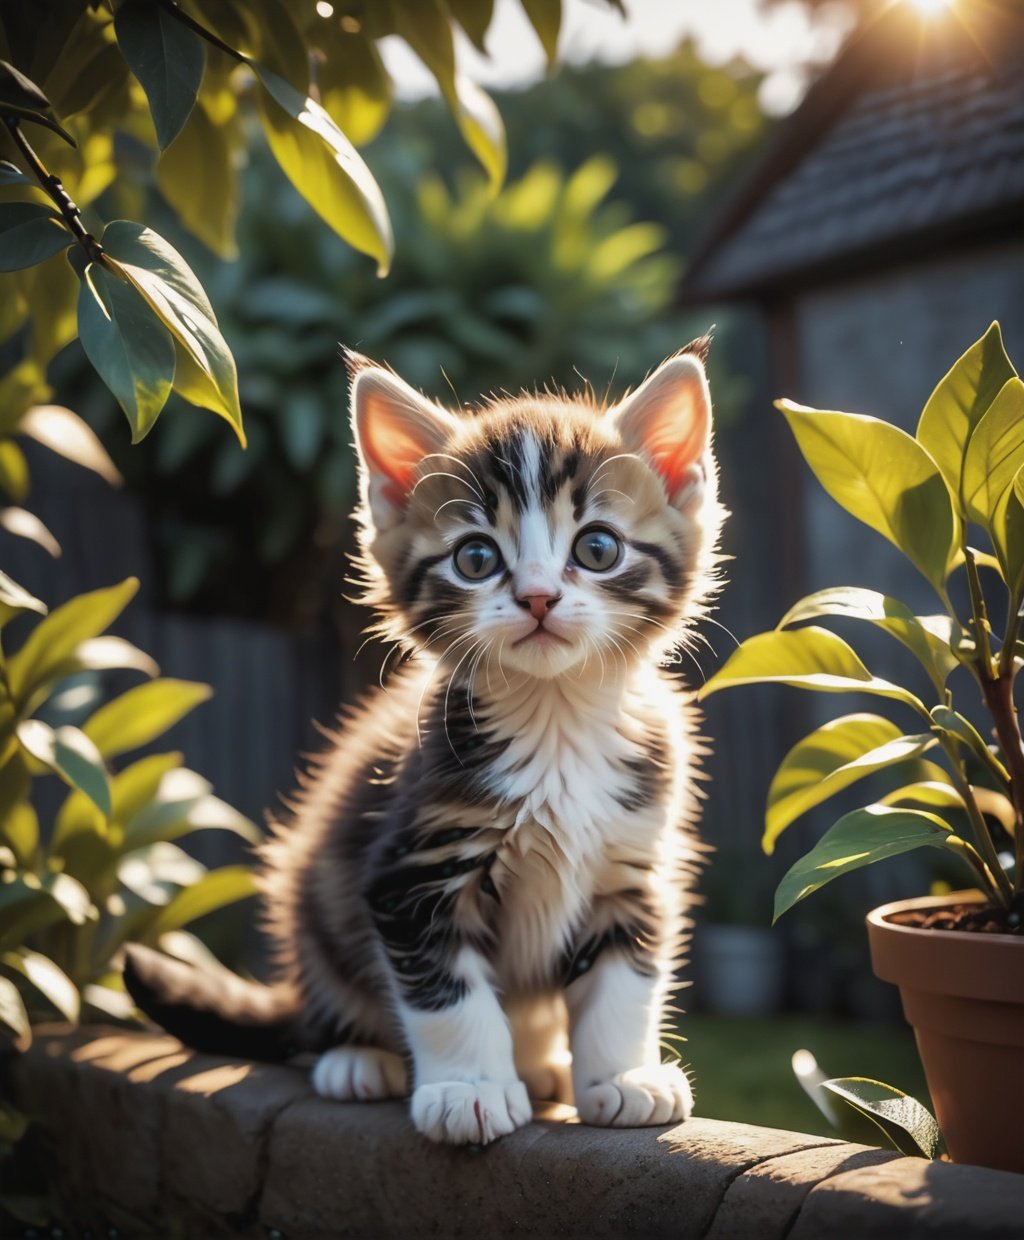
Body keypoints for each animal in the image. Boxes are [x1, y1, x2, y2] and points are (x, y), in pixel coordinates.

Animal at [123, 337, 723, 1140]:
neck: (556, 722)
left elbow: (625, 983)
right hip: (314, 895)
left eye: (598, 547)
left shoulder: (632, 866)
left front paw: (621, 1077)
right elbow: (449, 998)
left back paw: (546, 1069)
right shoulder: (409, 872)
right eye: (475, 558)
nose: (538, 597)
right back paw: (357, 1059)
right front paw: (468, 1089)